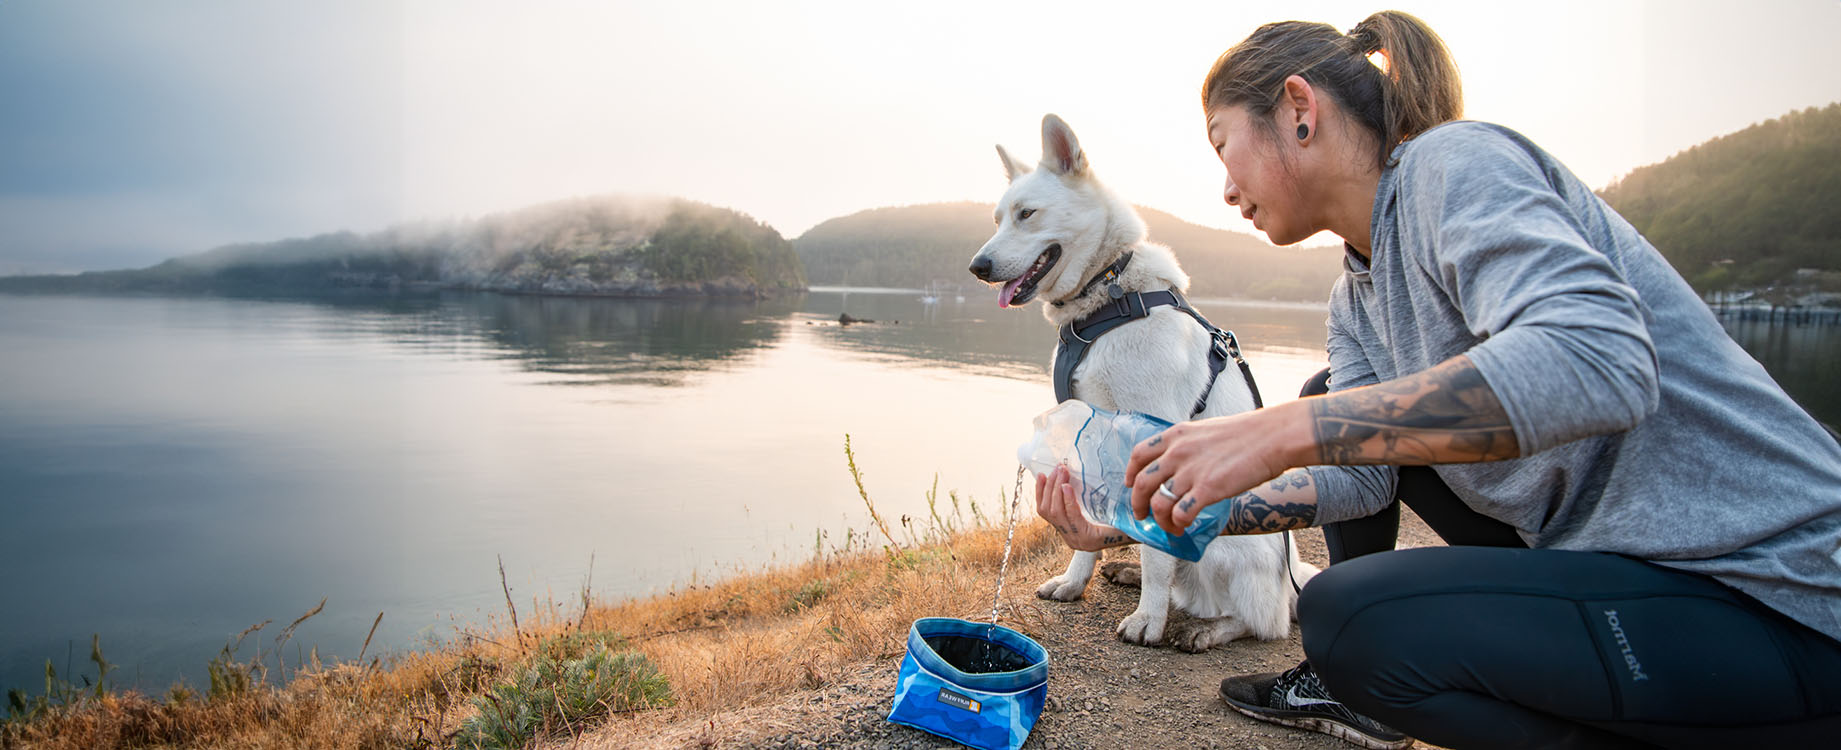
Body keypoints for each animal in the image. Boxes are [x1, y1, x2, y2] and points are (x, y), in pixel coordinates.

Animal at [972, 112, 1318, 652]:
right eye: (997, 219)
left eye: (1028, 214)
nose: (977, 267)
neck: (1107, 296)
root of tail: (1291, 575)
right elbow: (1089, 533)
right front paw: (1075, 581)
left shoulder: (1154, 443)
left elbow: (1158, 559)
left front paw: (1147, 620)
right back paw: (1131, 575)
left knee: (1261, 619)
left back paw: (1205, 627)